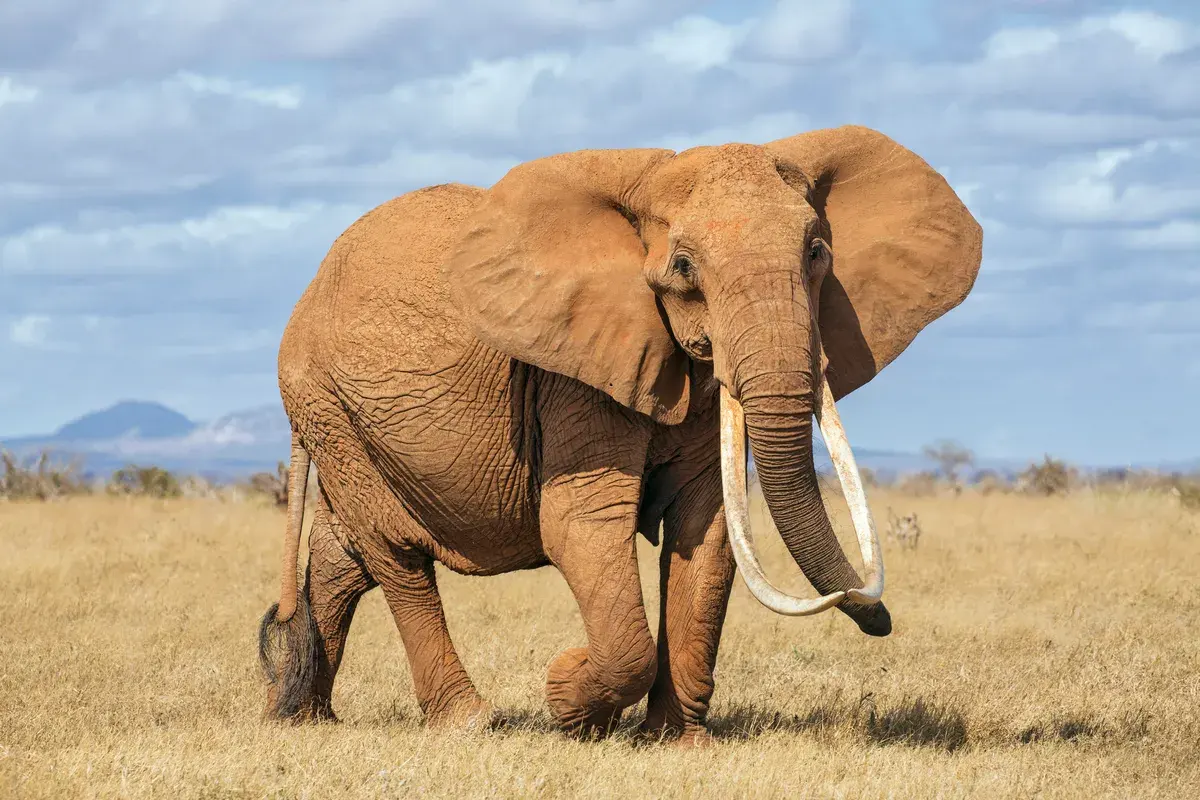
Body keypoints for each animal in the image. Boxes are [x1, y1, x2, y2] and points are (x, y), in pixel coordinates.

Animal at [256, 125, 982, 743]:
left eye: (817, 252)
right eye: (684, 267)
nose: (876, 616)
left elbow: (705, 528)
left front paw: (676, 742)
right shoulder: (571, 373)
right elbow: (581, 525)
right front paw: (566, 699)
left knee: (343, 558)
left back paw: (301, 716)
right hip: (324, 404)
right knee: (394, 551)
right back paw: (469, 723)